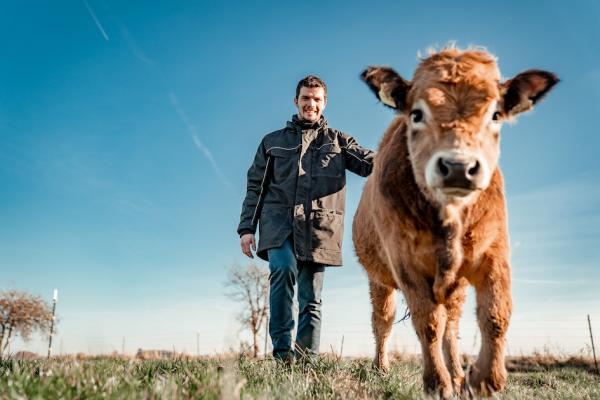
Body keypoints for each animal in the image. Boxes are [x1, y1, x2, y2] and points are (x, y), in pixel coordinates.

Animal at [352, 47, 556, 396]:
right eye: (416, 114)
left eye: (495, 115)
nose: (459, 167)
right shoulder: (404, 262)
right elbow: (428, 323)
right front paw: (437, 383)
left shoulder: (494, 252)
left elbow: (496, 313)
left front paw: (484, 379)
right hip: (379, 278)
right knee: (384, 319)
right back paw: (382, 368)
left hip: (455, 286)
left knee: (452, 325)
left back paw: (459, 376)